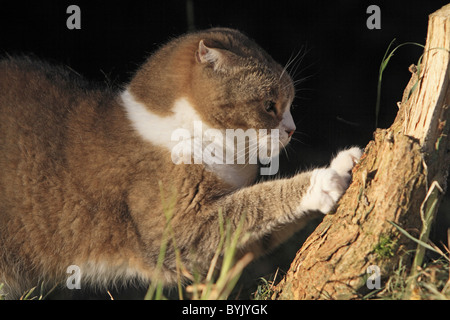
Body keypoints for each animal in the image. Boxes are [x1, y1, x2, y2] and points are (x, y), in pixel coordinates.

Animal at [0, 28, 360, 300]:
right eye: (269, 105)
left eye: (289, 103)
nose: (292, 129)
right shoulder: (174, 229)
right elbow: (255, 202)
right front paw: (323, 180)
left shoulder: (218, 249)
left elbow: (253, 229)